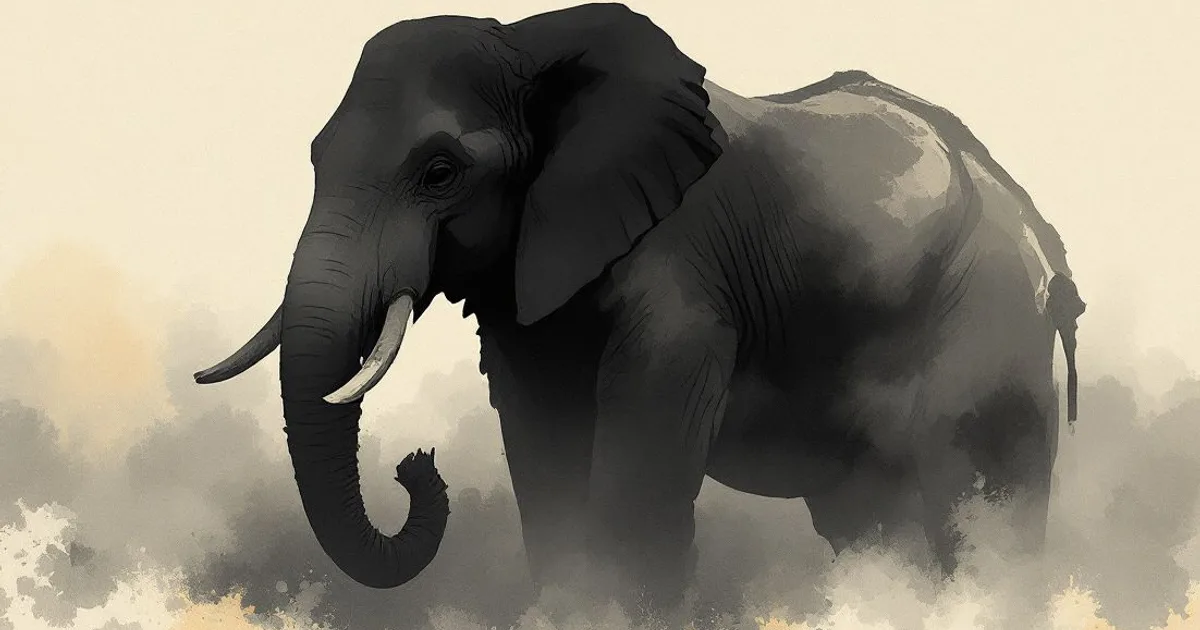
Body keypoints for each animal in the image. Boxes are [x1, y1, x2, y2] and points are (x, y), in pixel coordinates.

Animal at [194, 2, 1086, 614]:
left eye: (440, 171)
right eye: (315, 158)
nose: (415, 466)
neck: (530, 44)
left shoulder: (684, 276)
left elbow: (638, 492)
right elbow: (544, 462)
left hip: (989, 331)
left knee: (986, 514)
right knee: (874, 523)